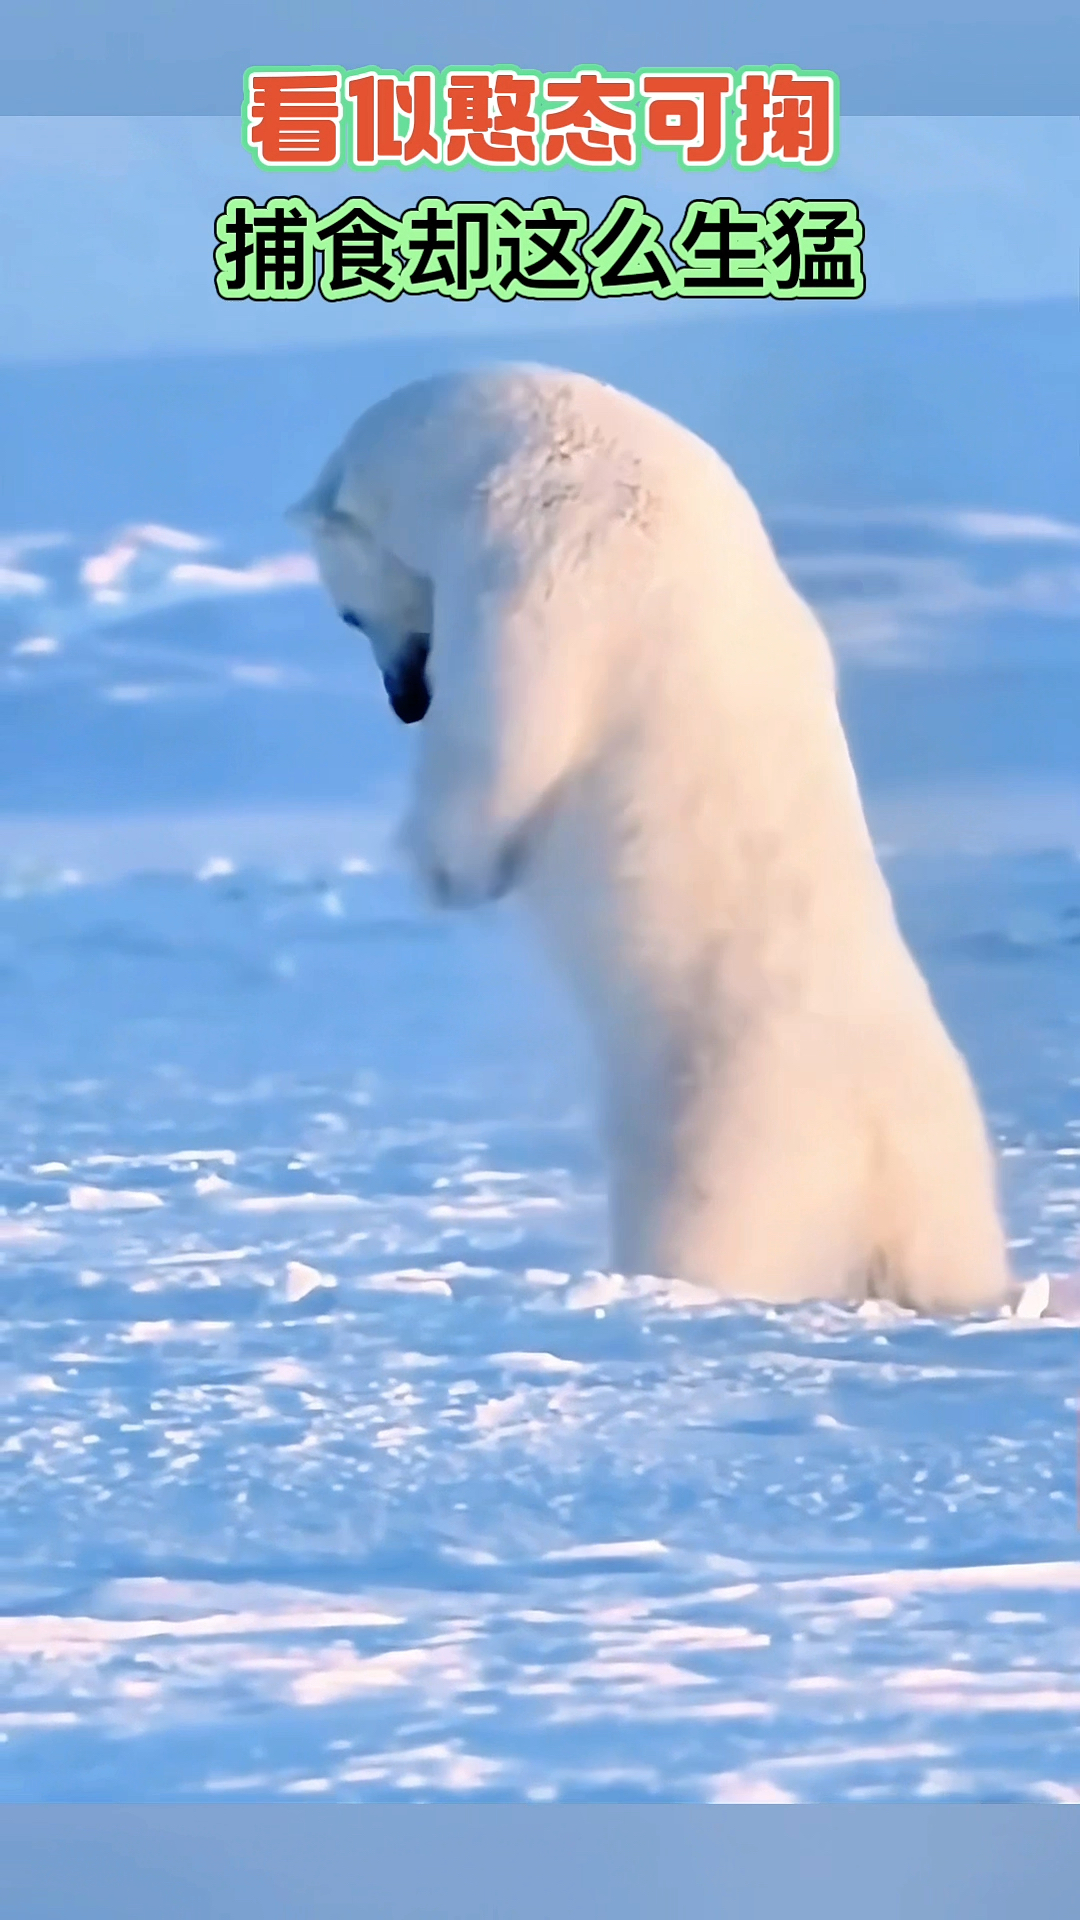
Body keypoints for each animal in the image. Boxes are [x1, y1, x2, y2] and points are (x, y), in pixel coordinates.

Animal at [288, 364, 1006, 1313]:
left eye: (346, 613)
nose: (406, 699)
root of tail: (883, 1171)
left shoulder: (550, 567)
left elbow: (508, 739)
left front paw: (442, 865)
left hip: (734, 1136)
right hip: (948, 1174)